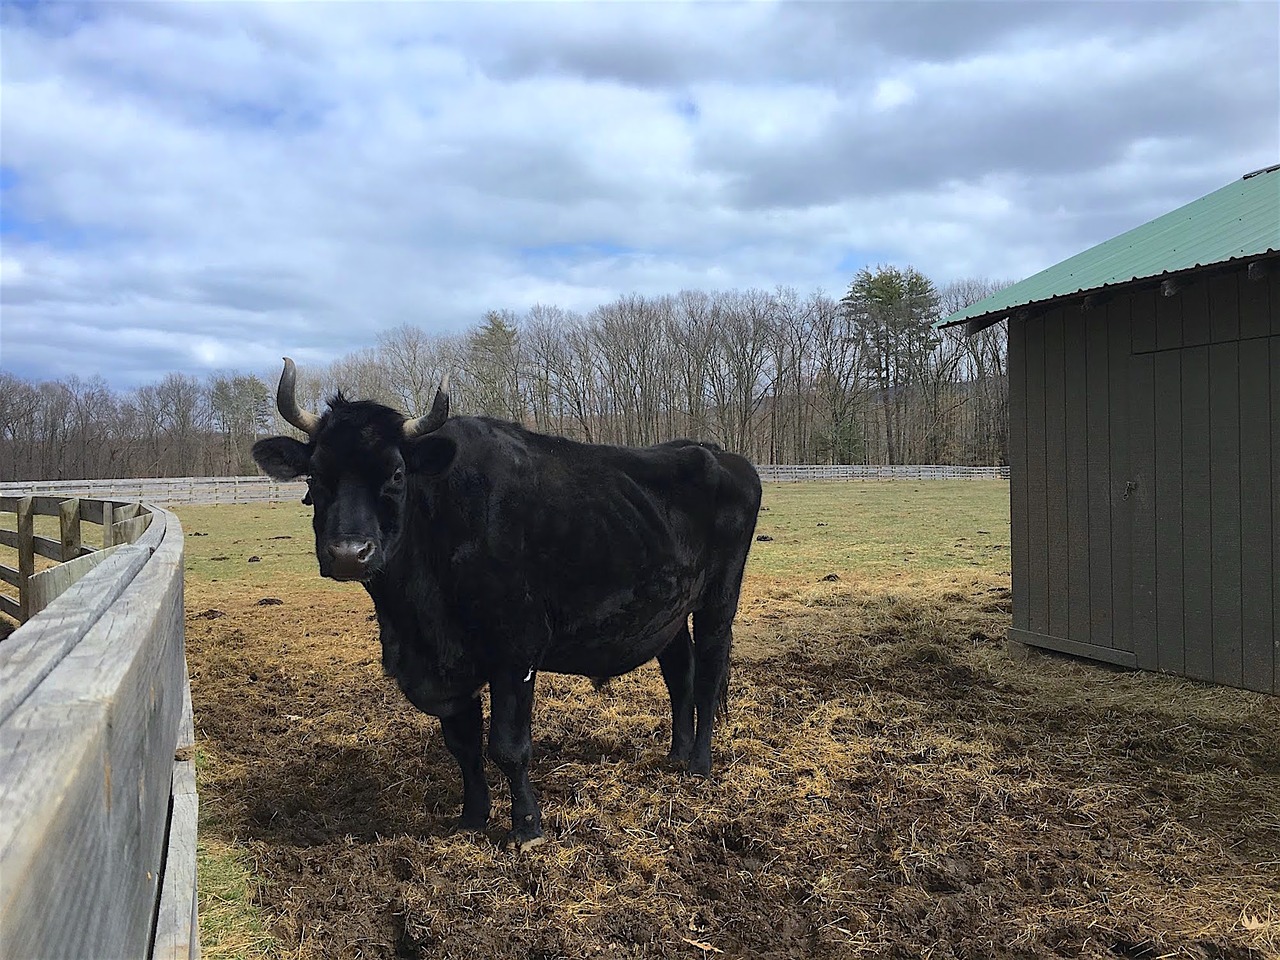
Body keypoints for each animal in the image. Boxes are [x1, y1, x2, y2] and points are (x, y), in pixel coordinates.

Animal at [249, 360, 757, 849]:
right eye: (315, 474)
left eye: (395, 473)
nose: (348, 553)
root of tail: (718, 454)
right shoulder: (449, 664)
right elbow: (463, 745)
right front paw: (472, 818)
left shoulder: (516, 650)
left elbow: (508, 747)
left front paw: (527, 828)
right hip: (668, 609)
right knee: (680, 673)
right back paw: (676, 754)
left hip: (719, 597)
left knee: (708, 672)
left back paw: (700, 765)